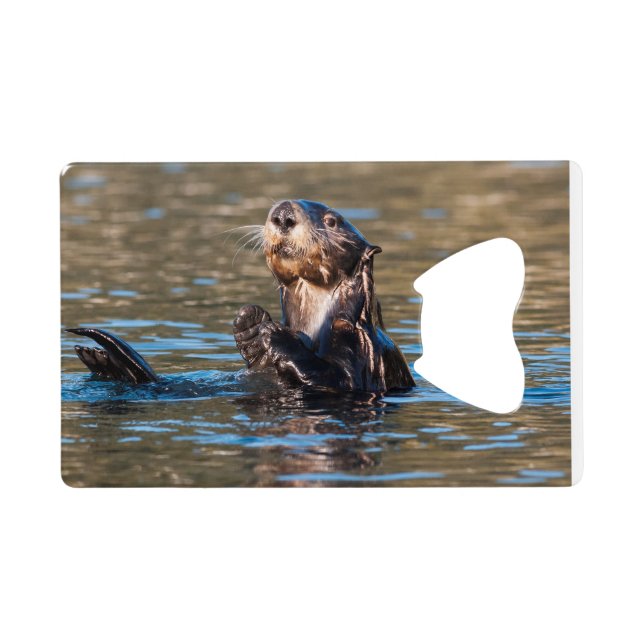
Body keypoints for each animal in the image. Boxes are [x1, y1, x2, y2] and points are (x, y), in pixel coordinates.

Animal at [66, 199, 415, 393]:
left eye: (331, 221)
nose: (283, 214)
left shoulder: (363, 352)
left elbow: (335, 378)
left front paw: (274, 335)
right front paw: (250, 323)